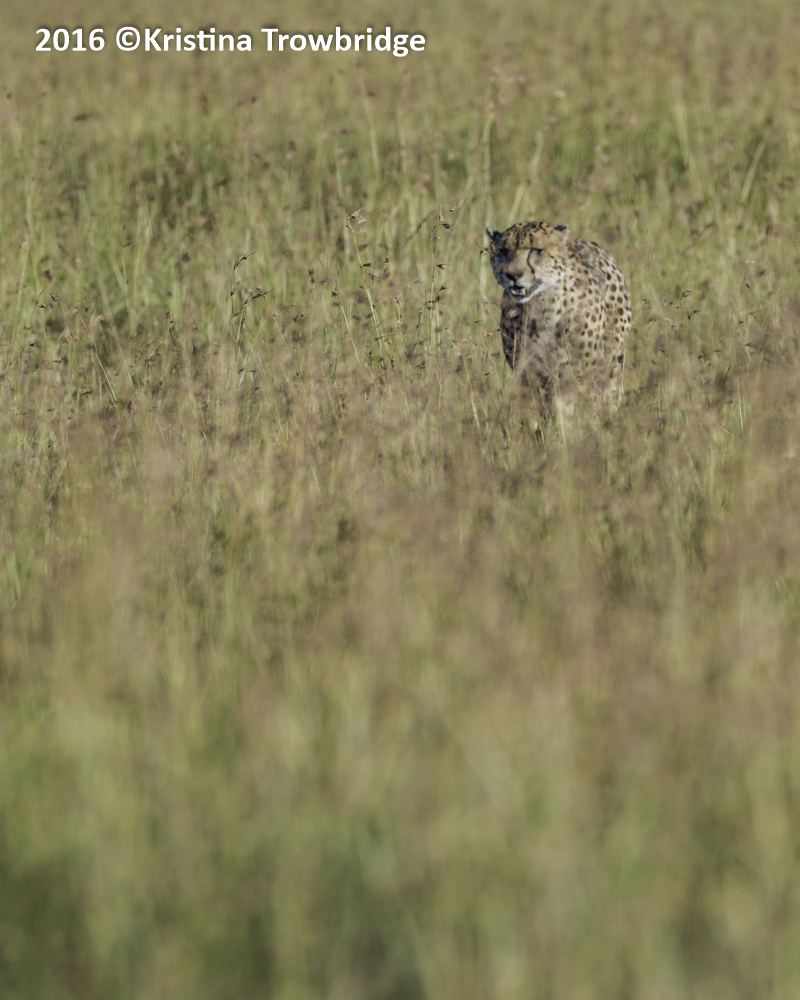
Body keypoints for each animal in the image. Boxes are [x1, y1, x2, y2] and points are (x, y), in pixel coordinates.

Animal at [485, 221, 631, 422]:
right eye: (502, 251)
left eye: (537, 250)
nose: (513, 275)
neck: (541, 306)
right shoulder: (528, 375)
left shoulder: (576, 373)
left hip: (611, 362)